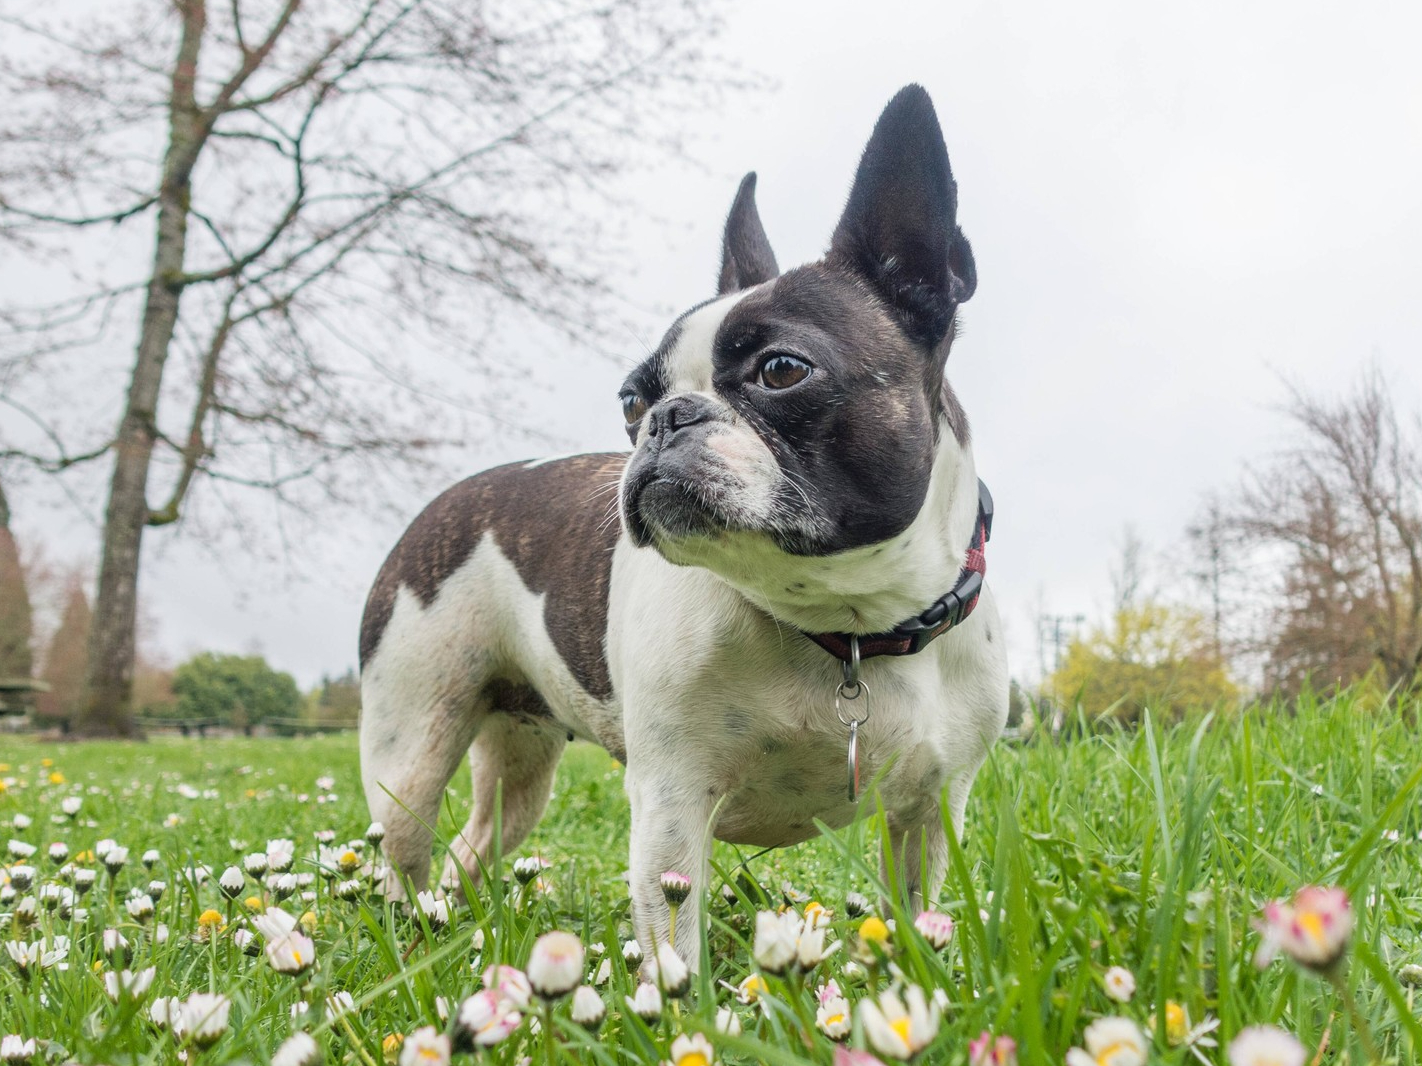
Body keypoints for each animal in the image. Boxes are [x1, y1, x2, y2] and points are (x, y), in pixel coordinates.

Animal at [361, 87, 1018, 966]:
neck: (849, 626)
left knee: (474, 847)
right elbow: (676, 947)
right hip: (412, 735)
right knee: (404, 844)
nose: (667, 417)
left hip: (521, 763)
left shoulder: (928, 809)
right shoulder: (672, 801)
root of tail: (454, 496)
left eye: (782, 370)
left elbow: (913, 918)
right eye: (631, 400)